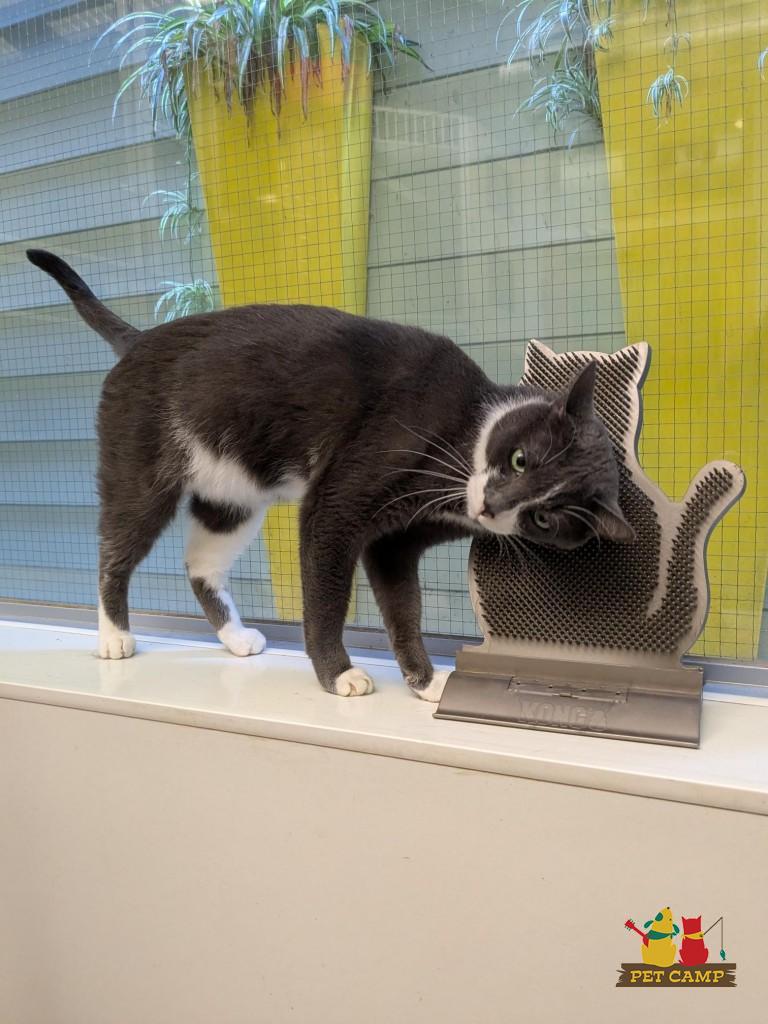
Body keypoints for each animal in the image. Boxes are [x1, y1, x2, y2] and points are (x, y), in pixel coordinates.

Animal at [27, 249, 634, 701]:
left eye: (547, 518)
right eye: (521, 459)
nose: (492, 506)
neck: (461, 435)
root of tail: (140, 339)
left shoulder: (397, 541)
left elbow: (404, 606)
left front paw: (424, 680)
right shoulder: (337, 503)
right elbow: (328, 593)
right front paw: (337, 673)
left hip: (232, 498)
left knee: (201, 564)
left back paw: (234, 637)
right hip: (142, 472)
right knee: (115, 547)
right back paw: (114, 635)